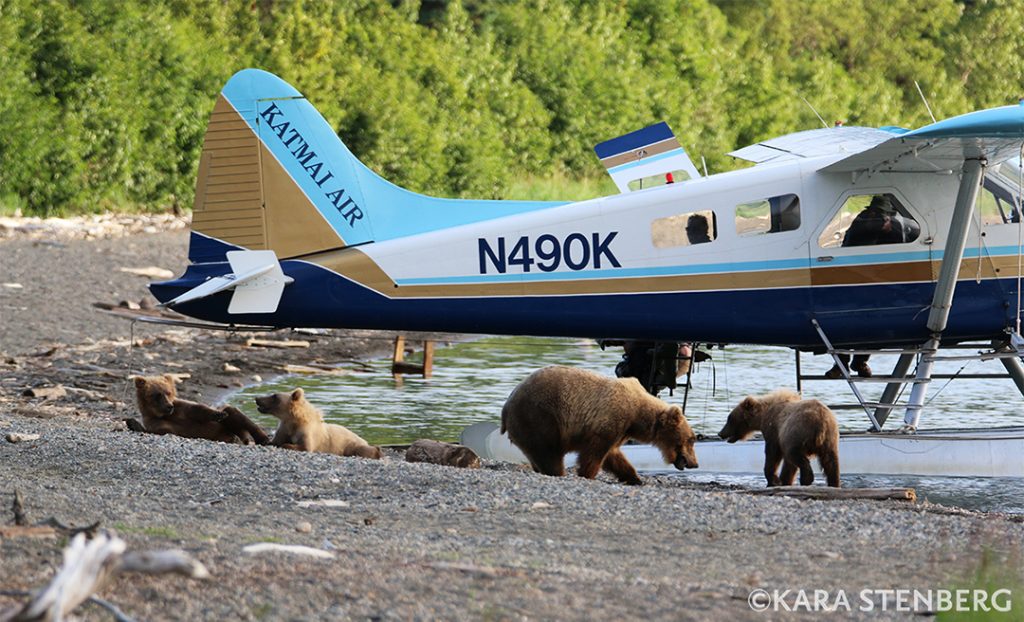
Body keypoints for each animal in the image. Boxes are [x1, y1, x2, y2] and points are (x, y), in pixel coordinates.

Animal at [133, 374, 270, 445]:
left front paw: (218, 414)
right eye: (157, 395)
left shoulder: (181, 408)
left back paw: (262, 438)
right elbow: (166, 430)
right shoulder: (155, 422)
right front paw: (133, 423)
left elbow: (197, 409)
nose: (169, 406)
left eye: (168, 392)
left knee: (234, 414)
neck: (165, 415)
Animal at [500, 365, 698, 485]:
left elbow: (614, 456)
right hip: (539, 417)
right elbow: (594, 453)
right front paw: (587, 474)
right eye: (691, 439)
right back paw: (557, 472)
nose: (695, 463)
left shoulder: (619, 430)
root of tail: (506, 406)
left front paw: (635, 478)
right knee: (549, 453)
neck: (637, 416)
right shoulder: (610, 419)